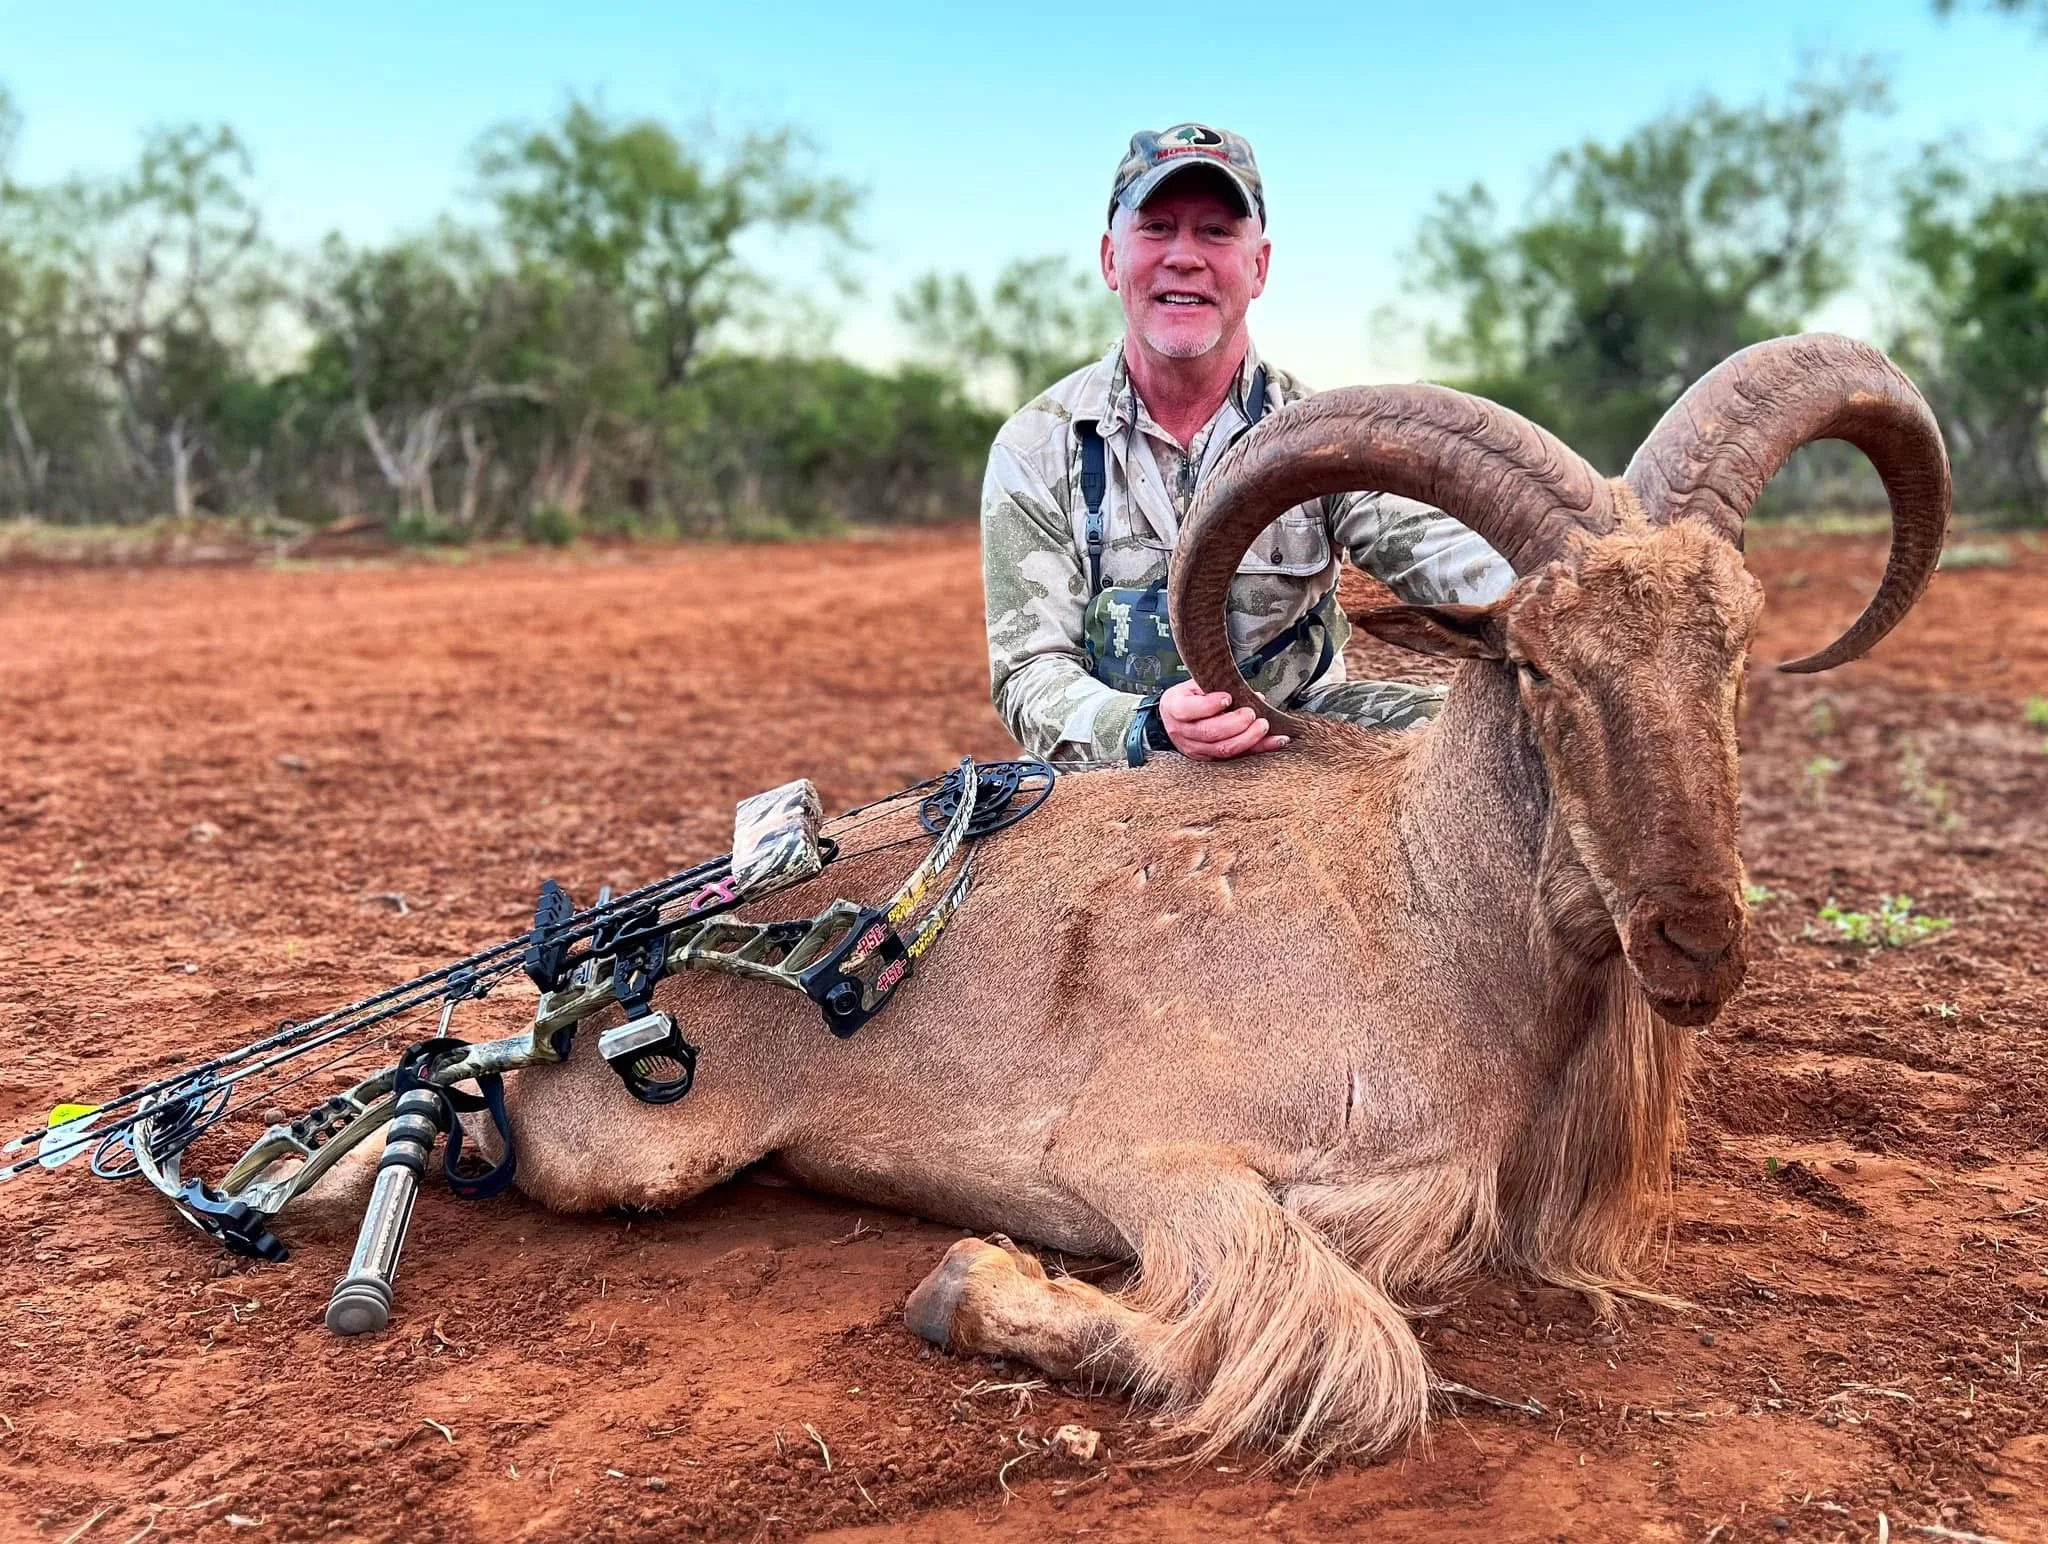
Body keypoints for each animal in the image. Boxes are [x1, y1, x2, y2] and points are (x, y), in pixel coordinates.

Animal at [497, 333, 1949, 1463]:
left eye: (1736, 645)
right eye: (1535, 663)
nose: (1694, 938)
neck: (1422, 916)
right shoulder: (1143, 1156)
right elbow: (1355, 1358)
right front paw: (971, 1278)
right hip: (631, 1143)